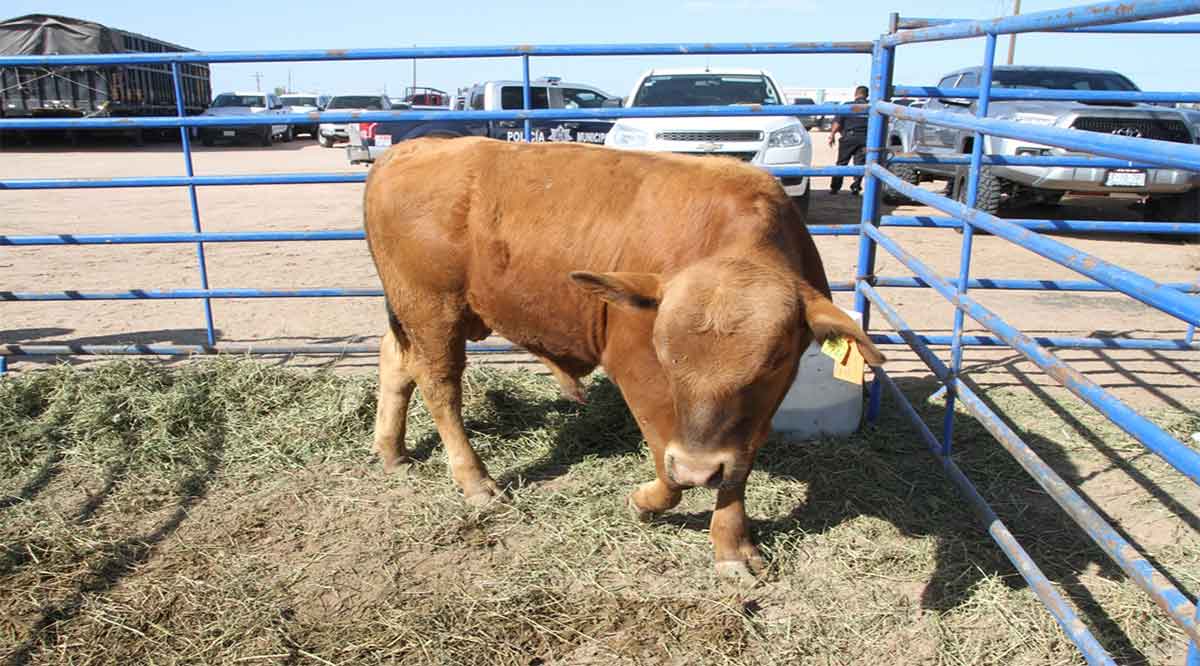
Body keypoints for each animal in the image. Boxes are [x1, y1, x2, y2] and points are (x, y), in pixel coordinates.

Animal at [357, 135, 883, 578]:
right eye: (666, 355)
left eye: (773, 361)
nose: (698, 468)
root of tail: (411, 148)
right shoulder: (639, 376)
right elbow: (669, 474)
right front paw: (642, 501)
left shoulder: (753, 415)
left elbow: (735, 471)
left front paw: (733, 547)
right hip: (433, 312)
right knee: (440, 387)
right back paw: (475, 481)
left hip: (415, 314)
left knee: (396, 363)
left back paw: (391, 449)